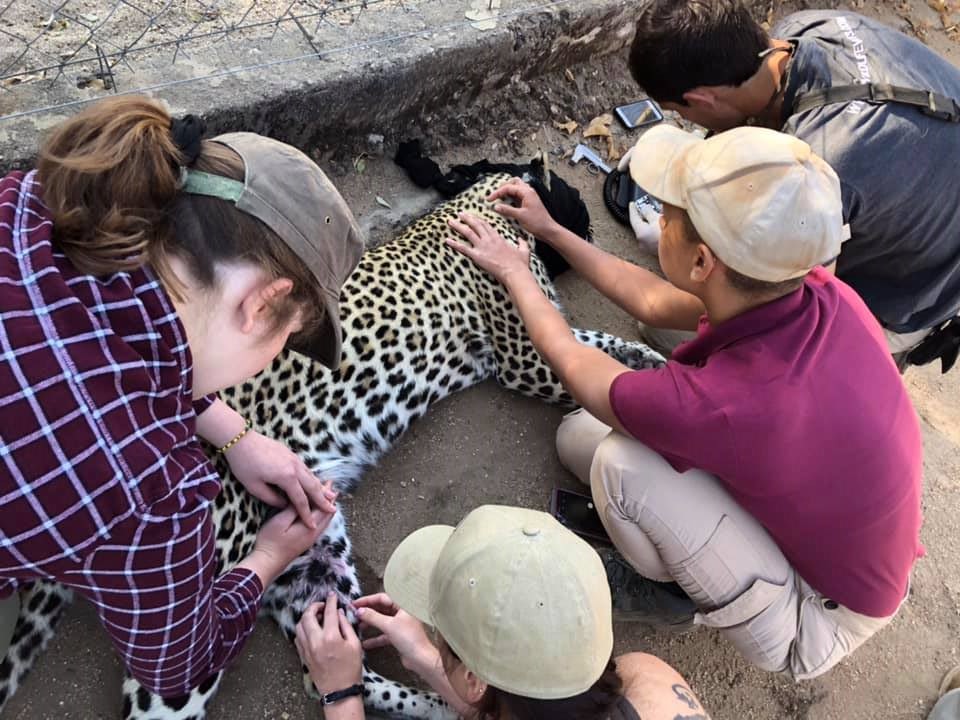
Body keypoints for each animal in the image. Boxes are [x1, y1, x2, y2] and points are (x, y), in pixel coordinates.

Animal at [0, 172, 665, 720]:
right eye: (574, 201)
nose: (591, 226)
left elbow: (601, 345)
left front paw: (656, 360)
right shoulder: (526, 364)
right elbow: (587, 353)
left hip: (315, 558)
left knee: (338, 663)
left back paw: (437, 698)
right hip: (190, 605)